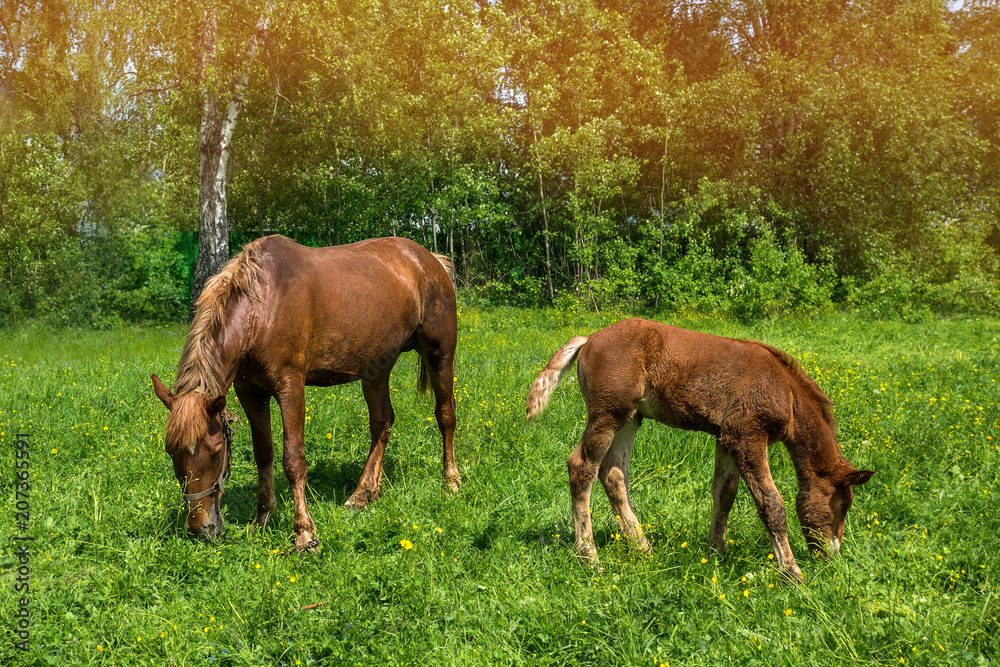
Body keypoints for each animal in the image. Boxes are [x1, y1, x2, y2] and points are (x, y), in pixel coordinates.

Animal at [152, 234, 461, 549]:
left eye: (215, 453)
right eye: (171, 450)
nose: (200, 528)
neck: (262, 307)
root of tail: (430, 260)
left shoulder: (290, 387)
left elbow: (293, 459)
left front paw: (304, 532)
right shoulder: (250, 393)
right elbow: (264, 453)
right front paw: (263, 518)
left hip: (440, 354)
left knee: (445, 415)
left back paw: (450, 481)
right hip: (376, 369)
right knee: (382, 422)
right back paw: (364, 493)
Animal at [526, 318, 874, 583]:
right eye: (843, 505)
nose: (830, 555)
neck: (786, 391)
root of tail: (589, 339)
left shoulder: (727, 437)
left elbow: (725, 493)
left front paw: (717, 552)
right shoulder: (747, 436)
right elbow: (771, 504)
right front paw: (792, 573)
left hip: (630, 417)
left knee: (613, 474)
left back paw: (643, 548)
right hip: (607, 413)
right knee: (581, 467)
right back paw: (589, 556)